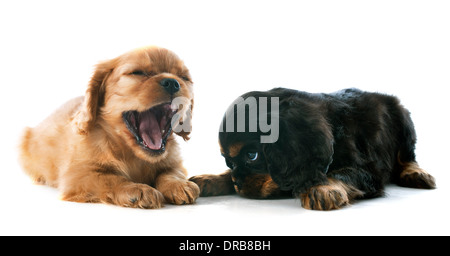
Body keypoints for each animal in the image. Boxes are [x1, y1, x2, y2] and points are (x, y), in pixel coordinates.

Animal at [18, 47, 199, 209]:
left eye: (184, 77)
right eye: (138, 72)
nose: (173, 83)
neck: (133, 155)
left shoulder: (174, 163)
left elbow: (170, 173)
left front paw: (179, 185)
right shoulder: (78, 175)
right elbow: (111, 178)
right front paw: (137, 189)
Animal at [191, 88, 436, 210]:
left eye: (252, 156)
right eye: (228, 162)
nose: (237, 183)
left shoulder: (368, 171)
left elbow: (341, 173)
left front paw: (323, 188)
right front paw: (211, 179)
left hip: (403, 119)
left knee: (408, 156)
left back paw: (416, 173)